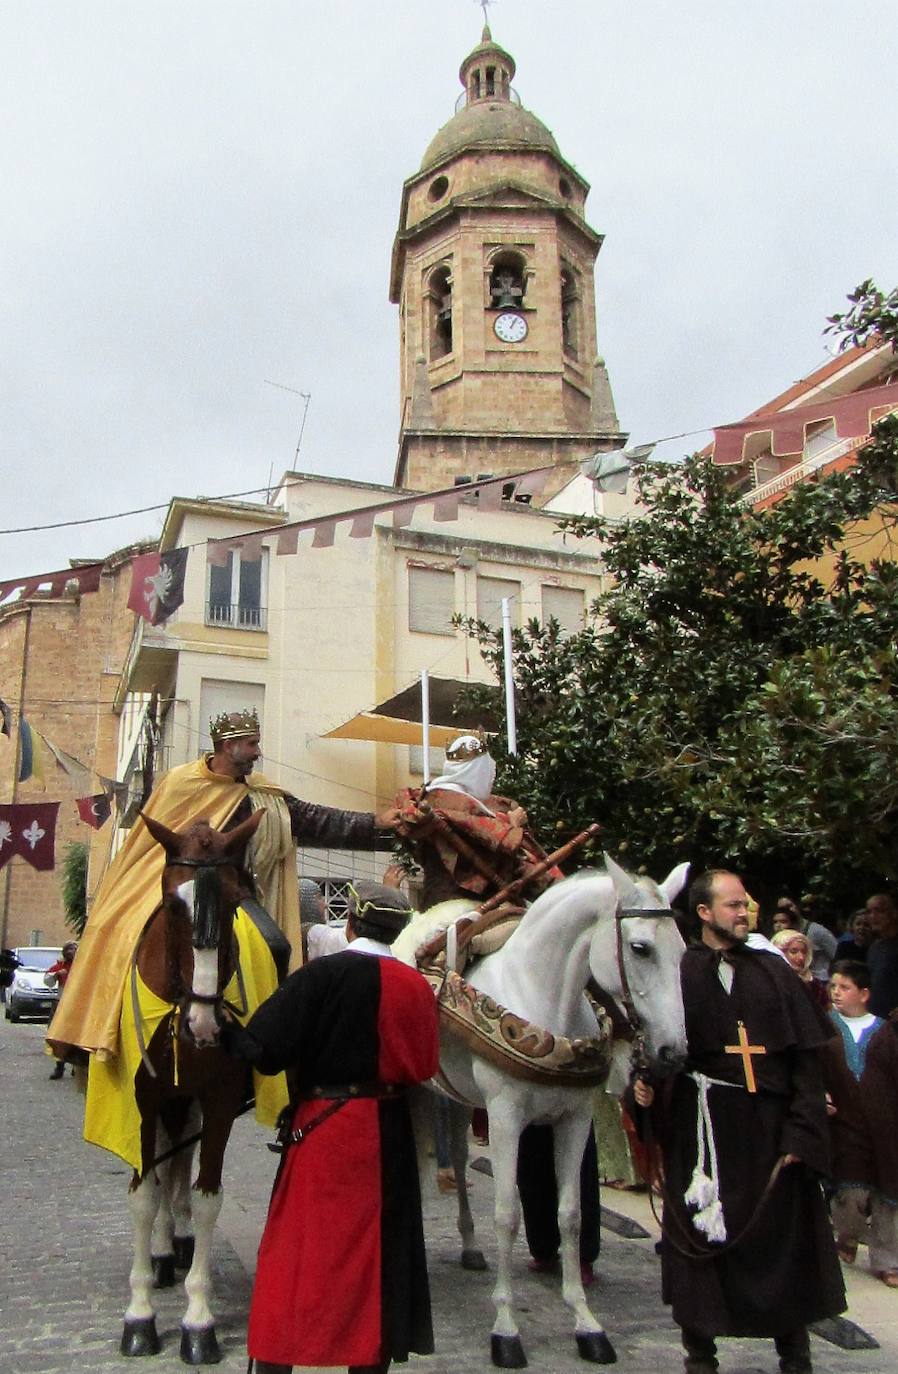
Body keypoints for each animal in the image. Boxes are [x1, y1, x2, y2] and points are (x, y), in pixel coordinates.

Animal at [119, 807, 262, 1357]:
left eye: (236, 903)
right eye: (169, 903)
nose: (204, 1026)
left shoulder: (217, 1102)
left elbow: (205, 1198)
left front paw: (198, 1320)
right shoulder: (142, 1102)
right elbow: (143, 1195)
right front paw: (139, 1316)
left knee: (180, 1165)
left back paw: (175, 1245)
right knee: (165, 1167)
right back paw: (161, 1254)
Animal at [395, 857, 689, 1363]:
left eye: (683, 951)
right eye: (640, 948)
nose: (674, 1052)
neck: (542, 994)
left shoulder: (574, 1120)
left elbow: (569, 1214)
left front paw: (586, 1323)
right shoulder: (505, 1119)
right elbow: (507, 1214)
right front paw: (506, 1329)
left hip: (456, 1095)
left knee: (457, 1151)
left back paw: (470, 1246)